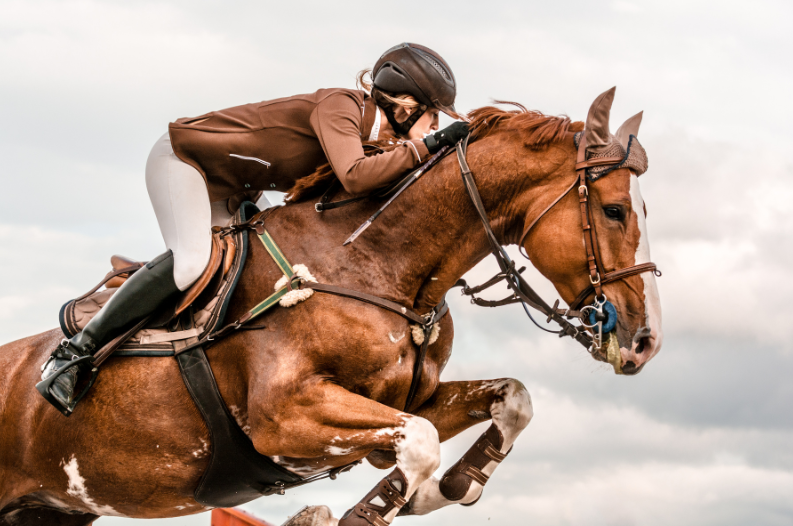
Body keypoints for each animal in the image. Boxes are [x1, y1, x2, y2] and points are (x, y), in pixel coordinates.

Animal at [0, 87, 662, 526]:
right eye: (613, 211)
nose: (645, 342)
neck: (374, 263)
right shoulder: (284, 414)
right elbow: (421, 440)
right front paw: (382, 505)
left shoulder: (407, 398)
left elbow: (511, 400)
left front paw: (448, 486)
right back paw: (64, 371)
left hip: (50, 511)